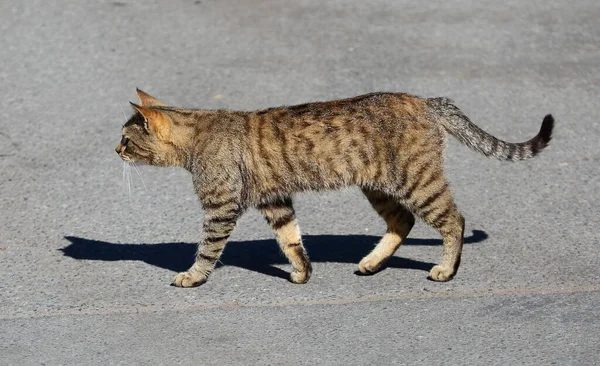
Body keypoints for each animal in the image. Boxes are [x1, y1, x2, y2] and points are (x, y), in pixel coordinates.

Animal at [116, 88, 552, 286]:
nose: (113, 149)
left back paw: (446, 268)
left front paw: (193, 276)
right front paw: (302, 272)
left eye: (125, 139)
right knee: (402, 222)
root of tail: (426, 100)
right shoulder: (275, 200)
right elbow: (291, 239)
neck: (197, 133)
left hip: (416, 181)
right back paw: (371, 262)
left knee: (454, 220)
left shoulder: (220, 206)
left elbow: (208, 248)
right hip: (379, 186)